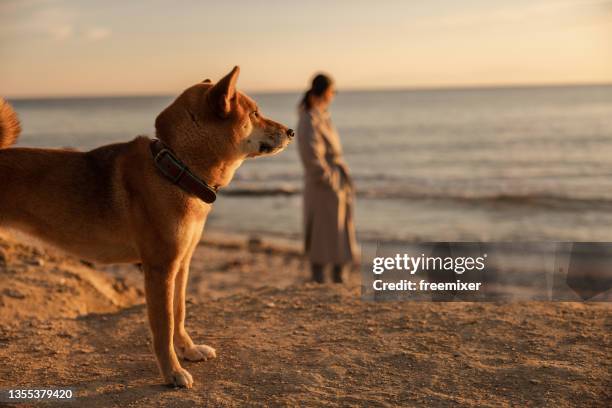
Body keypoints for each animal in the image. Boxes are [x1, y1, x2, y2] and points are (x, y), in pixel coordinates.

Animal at [0, 66, 294, 386]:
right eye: (255, 113)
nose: (291, 132)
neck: (176, 169)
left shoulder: (181, 264)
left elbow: (179, 313)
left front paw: (189, 350)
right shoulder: (159, 269)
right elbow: (163, 328)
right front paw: (173, 372)